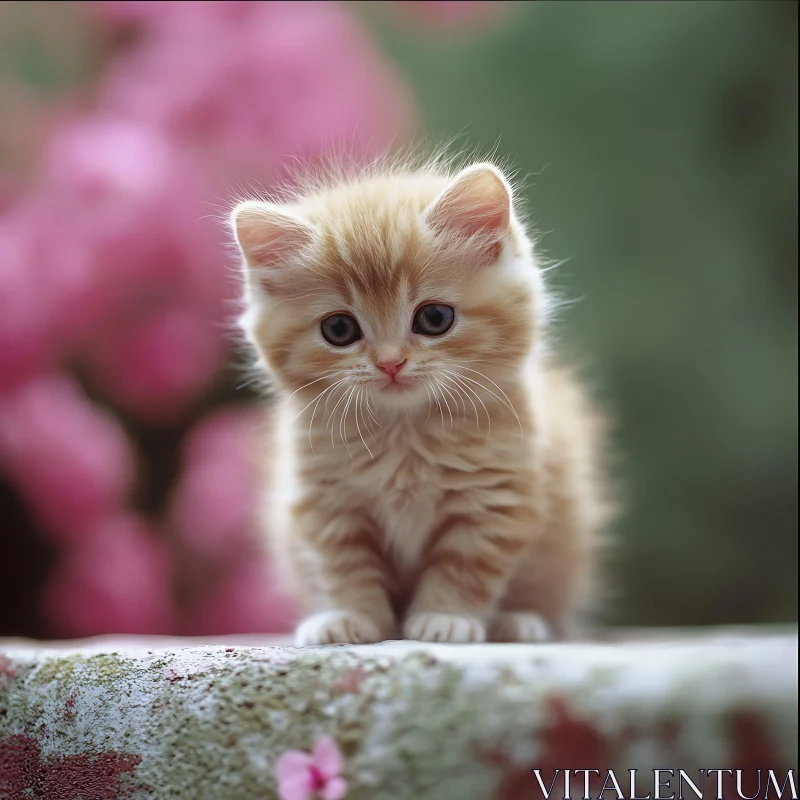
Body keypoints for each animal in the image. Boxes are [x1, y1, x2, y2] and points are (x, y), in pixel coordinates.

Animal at [230, 158, 612, 648]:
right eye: (339, 329)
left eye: (434, 318)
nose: (390, 362)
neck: (404, 432)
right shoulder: (327, 502)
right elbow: (345, 567)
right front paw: (351, 616)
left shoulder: (496, 496)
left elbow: (467, 564)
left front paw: (445, 618)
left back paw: (519, 622)